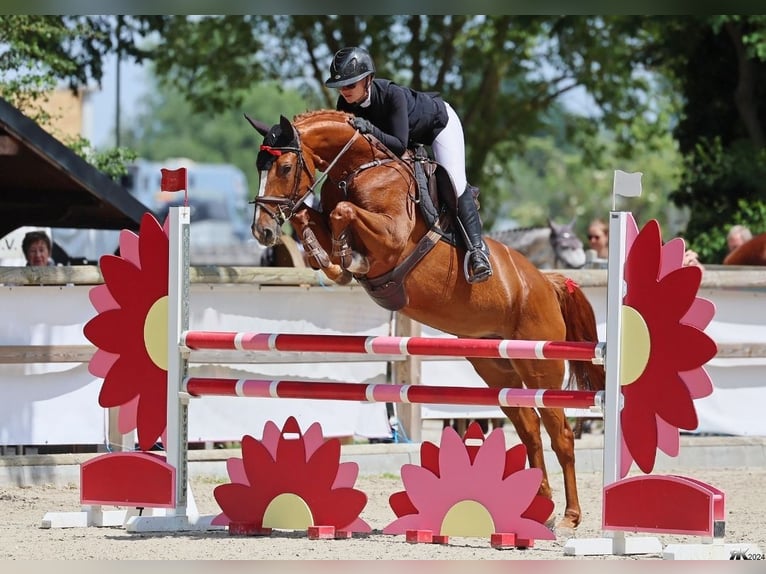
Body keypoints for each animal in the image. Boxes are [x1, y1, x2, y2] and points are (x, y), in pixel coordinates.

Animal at [246, 110, 608, 532]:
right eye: (259, 165)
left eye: (285, 167)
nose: (262, 231)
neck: (360, 168)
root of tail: (546, 282)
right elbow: (313, 216)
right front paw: (329, 257)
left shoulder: (391, 238)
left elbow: (342, 213)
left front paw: (343, 257)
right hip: (496, 368)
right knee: (530, 430)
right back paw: (539, 508)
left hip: (539, 367)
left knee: (561, 433)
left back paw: (568, 517)